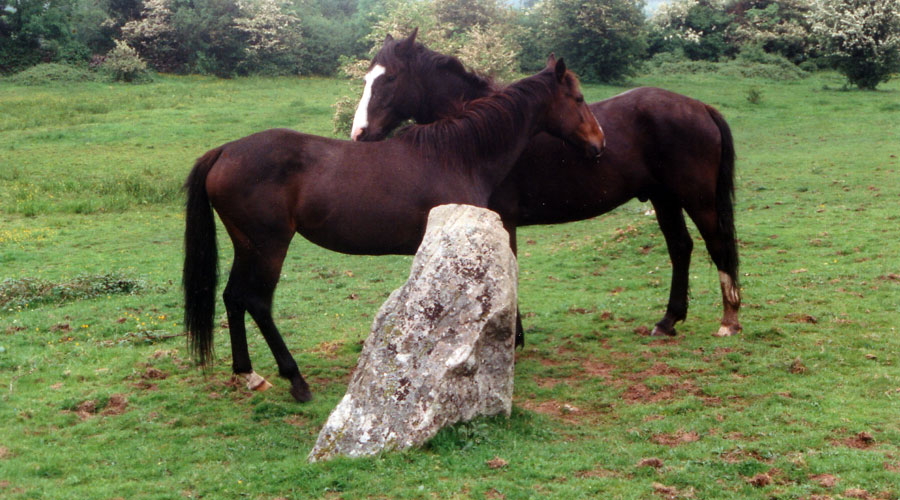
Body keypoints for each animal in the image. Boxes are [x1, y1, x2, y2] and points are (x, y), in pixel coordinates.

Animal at [183, 57, 604, 402]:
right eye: (579, 98)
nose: (599, 142)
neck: (459, 154)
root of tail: (225, 150)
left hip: (246, 246)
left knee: (233, 297)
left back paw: (248, 374)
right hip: (268, 246)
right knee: (257, 302)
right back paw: (296, 381)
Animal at [356, 29, 740, 342]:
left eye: (389, 78)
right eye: (367, 78)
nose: (359, 133)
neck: (479, 134)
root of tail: (700, 106)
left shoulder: (503, 221)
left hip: (697, 199)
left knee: (718, 245)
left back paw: (729, 321)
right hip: (665, 199)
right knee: (681, 247)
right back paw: (668, 320)